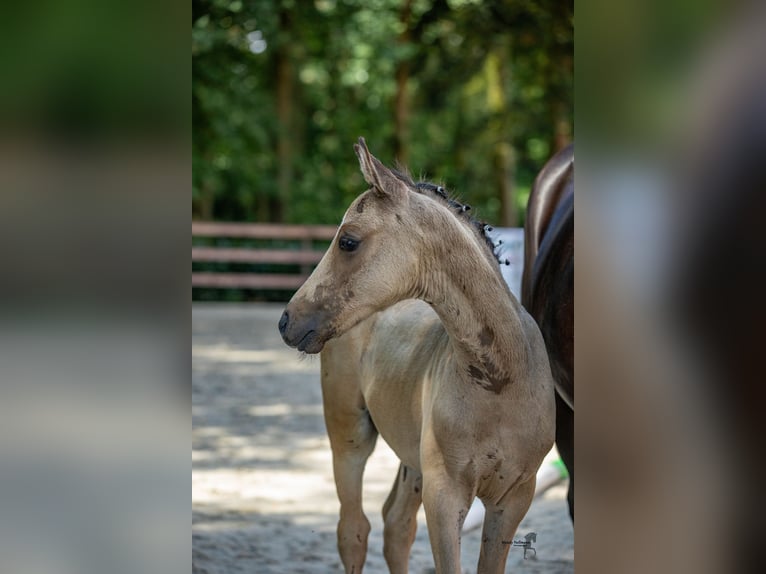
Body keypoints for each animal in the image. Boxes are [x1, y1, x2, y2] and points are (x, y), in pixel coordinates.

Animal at [280, 140, 556, 574]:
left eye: (347, 241)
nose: (287, 320)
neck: (501, 380)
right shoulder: (445, 495)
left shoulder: (514, 497)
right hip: (349, 433)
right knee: (354, 530)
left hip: (413, 460)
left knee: (396, 526)